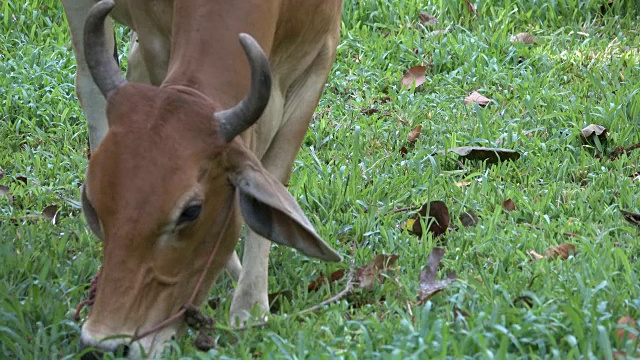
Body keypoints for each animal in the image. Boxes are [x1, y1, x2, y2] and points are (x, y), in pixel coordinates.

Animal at [63, 0, 344, 358]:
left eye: (190, 212)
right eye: (95, 206)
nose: (104, 343)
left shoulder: (321, 52)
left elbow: (273, 175)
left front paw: (250, 306)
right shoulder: (157, 42)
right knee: (88, 83)